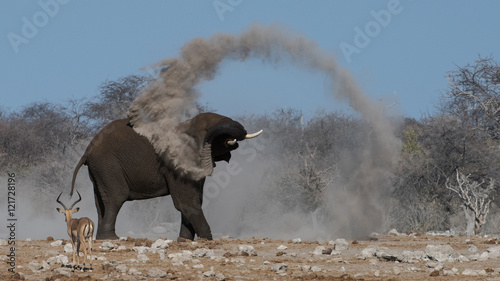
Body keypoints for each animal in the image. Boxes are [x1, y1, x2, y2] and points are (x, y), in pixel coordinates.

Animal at [70, 112, 262, 240]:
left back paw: (99, 238)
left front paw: (184, 241)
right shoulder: (176, 162)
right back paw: (110, 239)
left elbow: (195, 200)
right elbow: (186, 201)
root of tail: (88, 149)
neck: (188, 125)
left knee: (99, 202)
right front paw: (207, 239)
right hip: (108, 164)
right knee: (116, 197)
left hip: (99, 169)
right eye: (208, 131)